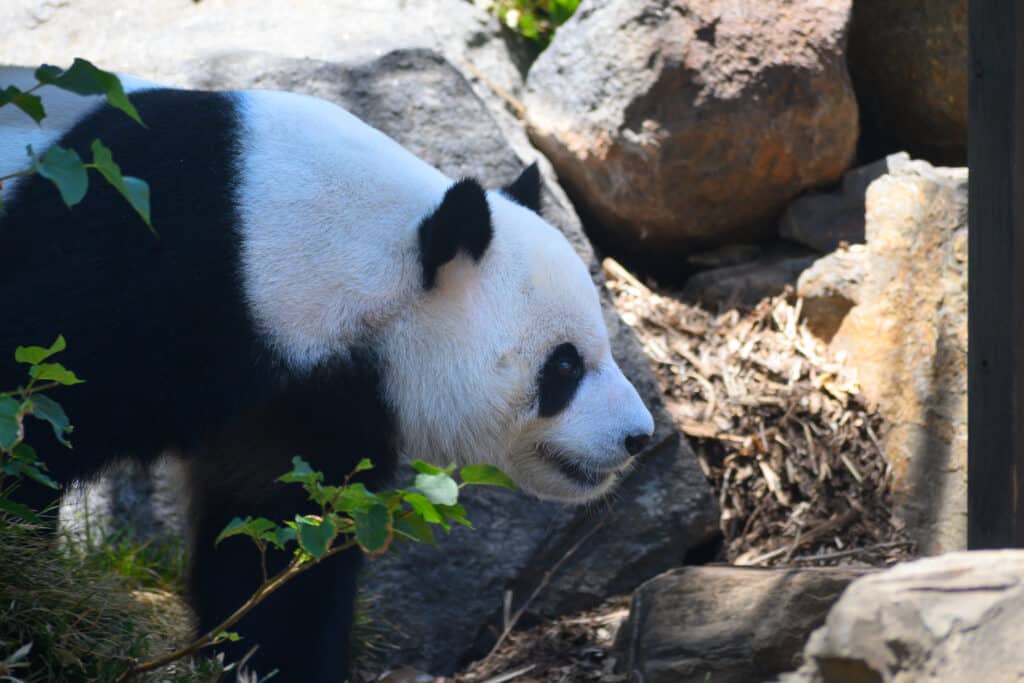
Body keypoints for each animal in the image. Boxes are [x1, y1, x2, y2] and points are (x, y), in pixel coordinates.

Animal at [0, 67, 654, 681]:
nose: (638, 437)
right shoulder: (121, 260)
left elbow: (276, 541)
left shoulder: (296, 404)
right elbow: (31, 419)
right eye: (565, 364)